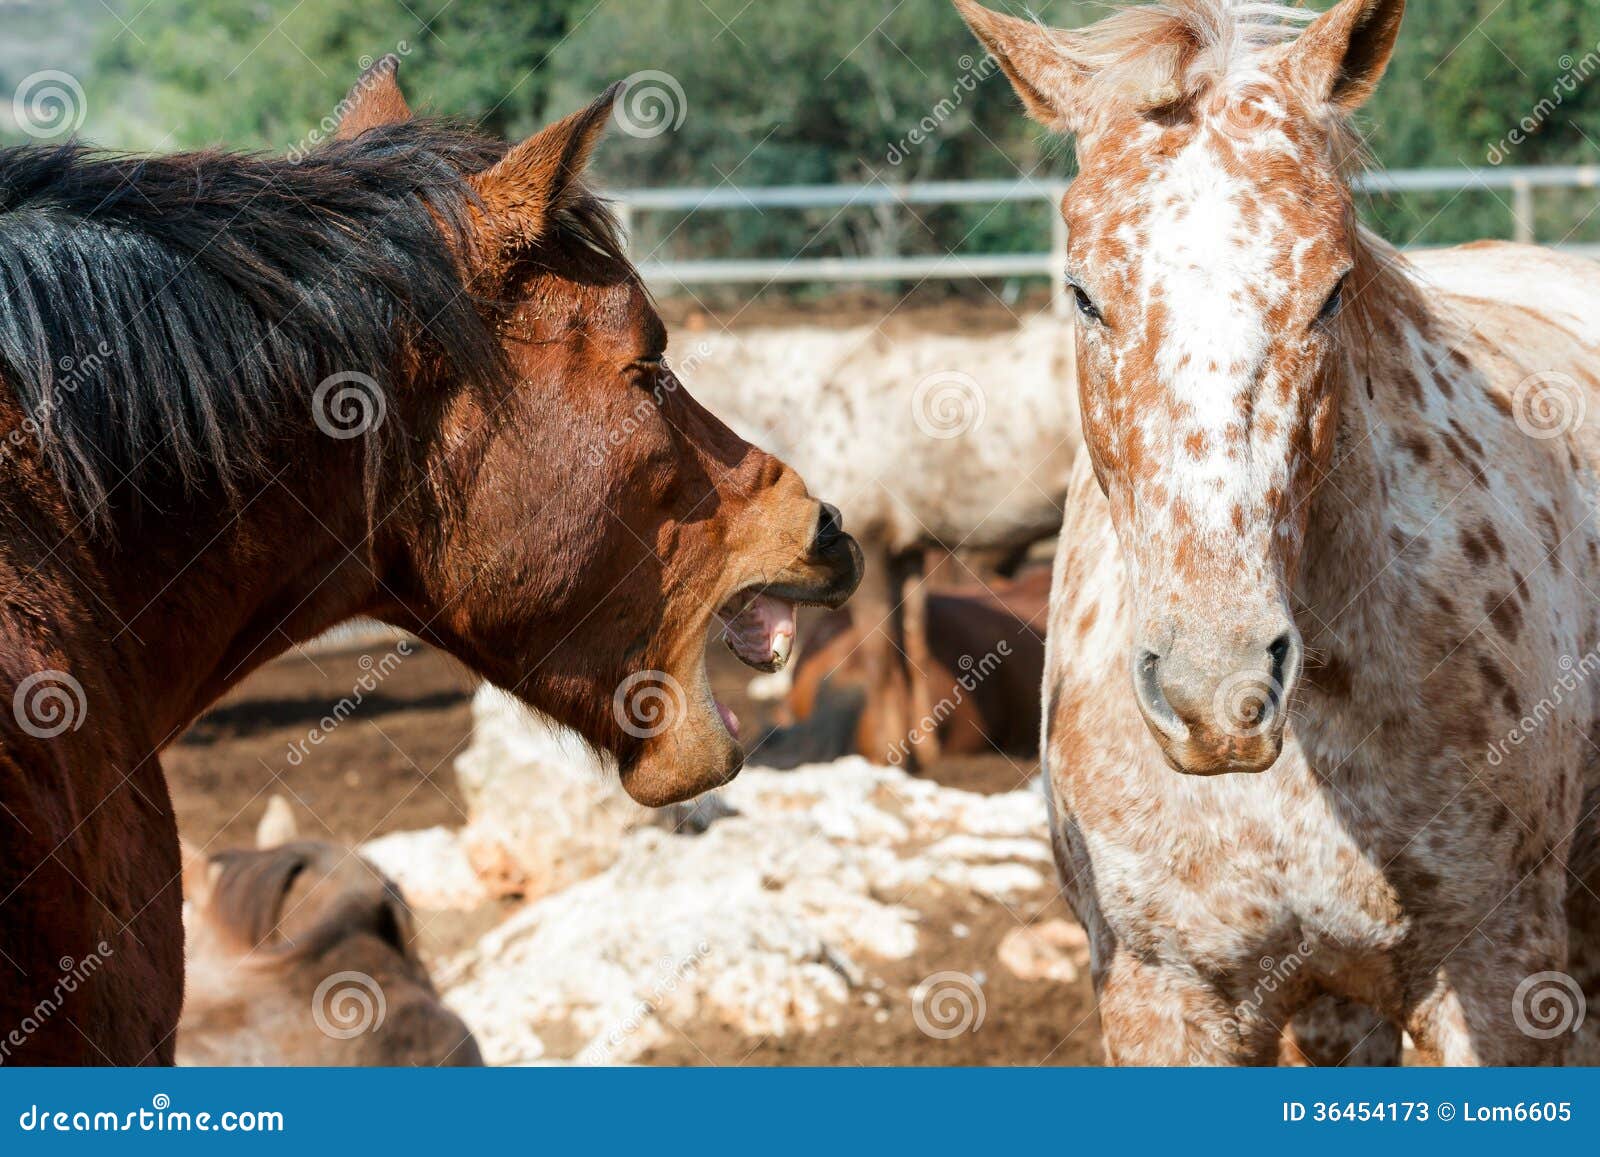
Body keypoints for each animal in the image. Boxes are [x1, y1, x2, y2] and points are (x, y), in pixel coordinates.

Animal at [681, 317, 1078, 768]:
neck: (808, 408)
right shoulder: (907, 552)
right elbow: (912, 645)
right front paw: (921, 748)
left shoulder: (871, 542)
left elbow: (881, 656)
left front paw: (892, 755)